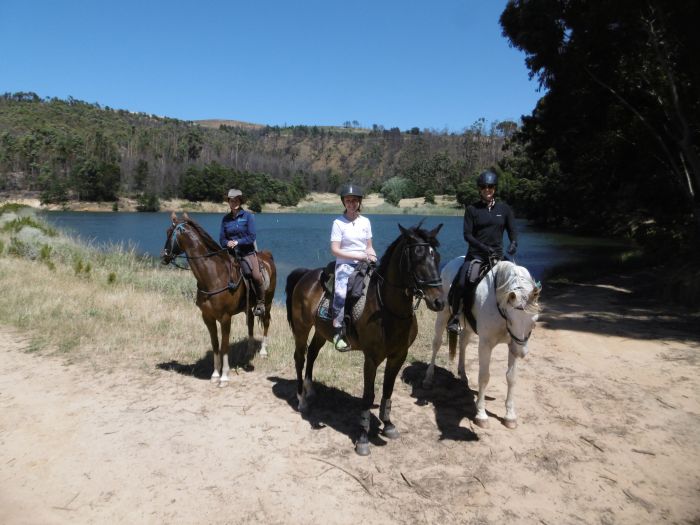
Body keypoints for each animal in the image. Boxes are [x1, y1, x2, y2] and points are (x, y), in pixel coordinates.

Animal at [161, 212, 276, 384]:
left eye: (169, 232)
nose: (164, 257)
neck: (213, 276)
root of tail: (267, 255)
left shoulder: (225, 317)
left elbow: (224, 345)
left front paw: (224, 376)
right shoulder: (207, 317)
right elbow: (215, 344)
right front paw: (215, 374)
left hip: (267, 303)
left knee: (266, 322)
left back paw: (262, 352)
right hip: (249, 307)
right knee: (250, 323)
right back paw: (249, 352)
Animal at [284, 221, 442, 454]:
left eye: (437, 256)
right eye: (417, 257)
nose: (439, 301)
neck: (388, 309)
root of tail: (306, 274)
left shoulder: (399, 356)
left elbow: (387, 390)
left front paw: (388, 424)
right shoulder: (371, 358)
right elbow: (368, 396)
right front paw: (363, 437)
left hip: (322, 331)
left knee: (312, 354)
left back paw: (310, 390)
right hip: (302, 328)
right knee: (300, 358)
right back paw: (302, 400)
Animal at [422, 256, 540, 428]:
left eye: (534, 322)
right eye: (511, 320)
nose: (521, 353)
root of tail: (452, 262)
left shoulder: (512, 344)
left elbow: (511, 377)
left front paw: (510, 416)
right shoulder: (485, 344)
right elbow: (484, 376)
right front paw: (481, 415)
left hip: (468, 326)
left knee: (463, 343)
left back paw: (463, 375)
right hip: (442, 314)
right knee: (436, 344)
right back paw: (428, 378)